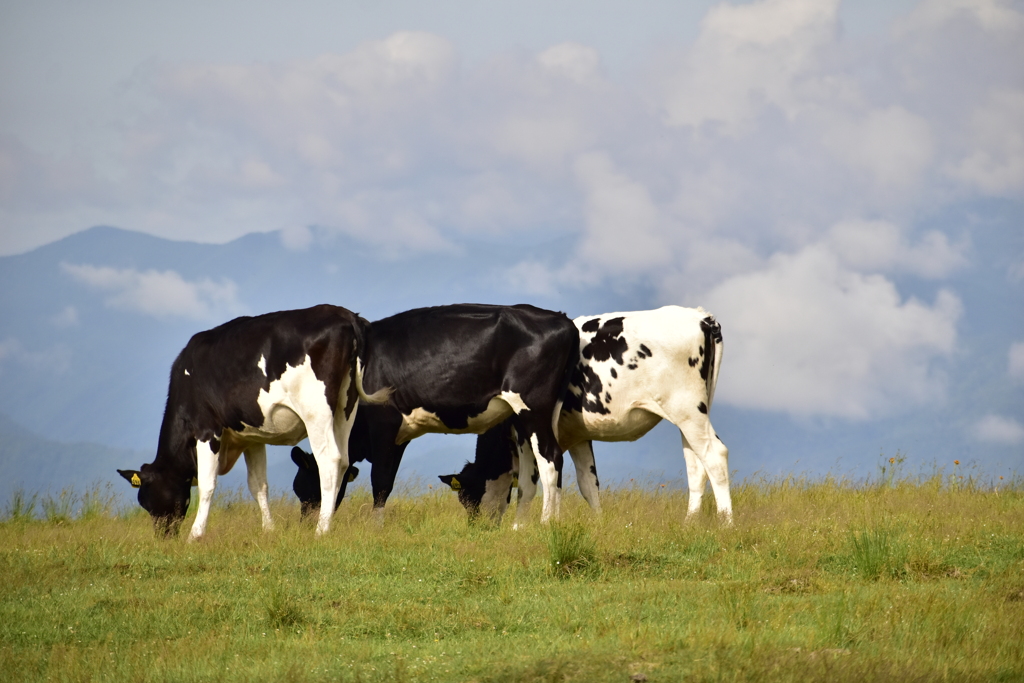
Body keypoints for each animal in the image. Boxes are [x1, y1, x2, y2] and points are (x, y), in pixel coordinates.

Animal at [117, 305, 391, 540]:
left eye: (148, 502)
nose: (163, 538)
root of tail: (346, 314)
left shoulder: (207, 429)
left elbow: (207, 484)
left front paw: (195, 535)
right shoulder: (251, 437)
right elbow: (259, 485)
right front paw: (268, 529)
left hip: (316, 410)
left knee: (329, 461)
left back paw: (321, 530)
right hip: (346, 408)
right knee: (343, 460)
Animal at [288, 301, 581, 528]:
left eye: (307, 488)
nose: (305, 526)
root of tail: (561, 319)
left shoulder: (384, 425)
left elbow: (379, 481)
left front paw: (374, 528)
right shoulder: (399, 437)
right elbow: (387, 483)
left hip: (533, 408)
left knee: (551, 459)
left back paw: (547, 523)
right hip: (532, 416)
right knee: (535, 470)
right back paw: (524, 526)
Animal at [436, 307, 733, 528]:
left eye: (467, 497)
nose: (477, 529)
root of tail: (700, 316)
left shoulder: (524, 429)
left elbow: (530, 482)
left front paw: (523, 526)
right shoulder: (578, 436)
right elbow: (588, 484)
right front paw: (598, 524)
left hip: (686, 408)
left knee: (714, 455)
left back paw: (725, 523)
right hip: (689, 414)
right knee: (695, 465)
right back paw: (689, 522)